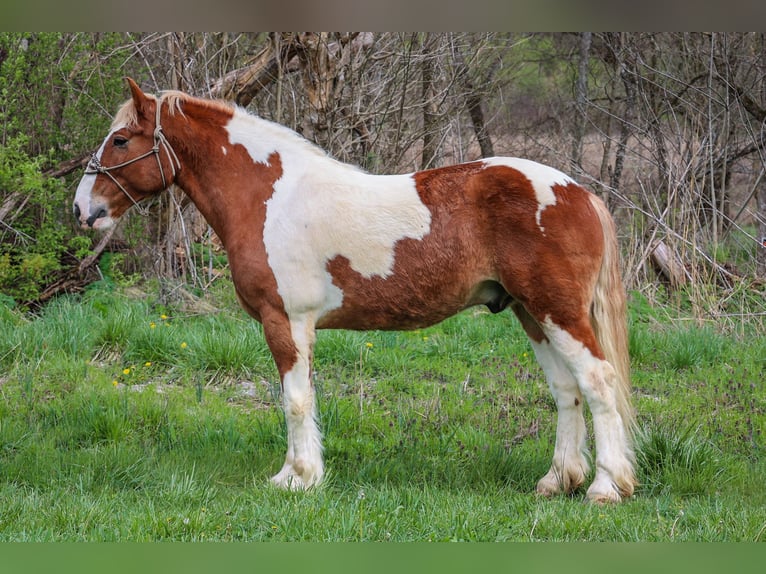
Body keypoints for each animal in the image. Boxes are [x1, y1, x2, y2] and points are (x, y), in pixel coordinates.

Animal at [72, 77, 640, 504]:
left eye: (120, 140)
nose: (82, 210)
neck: (268, 196)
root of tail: (579, 193)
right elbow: (300, 397)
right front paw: (296, 474)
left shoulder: (286, 321)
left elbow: (295, 400)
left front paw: (299, 479)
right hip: (531, 313)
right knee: (566, 390)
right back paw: (558, 481)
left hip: (557, 312)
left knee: (598, 382)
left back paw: (606, 487)